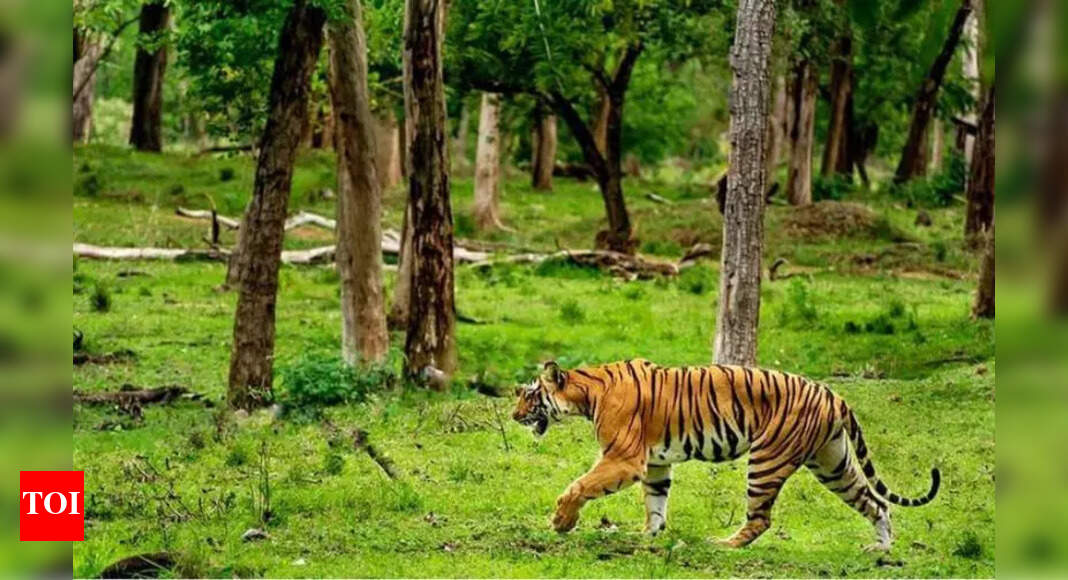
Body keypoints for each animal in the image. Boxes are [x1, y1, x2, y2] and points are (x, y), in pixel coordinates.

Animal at [512, 359, 939, 551]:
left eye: (530, 395)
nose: (514, 415)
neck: (587, 392)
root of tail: (832, 393)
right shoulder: (655, 462)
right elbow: (656, 503)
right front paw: (649, 535)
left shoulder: (624, 459)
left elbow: (579, 486)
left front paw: (561, 522)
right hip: (833, 463)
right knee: (876, 503)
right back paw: (880, 549)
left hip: (767, 460)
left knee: (761, 519)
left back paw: (723, 545)